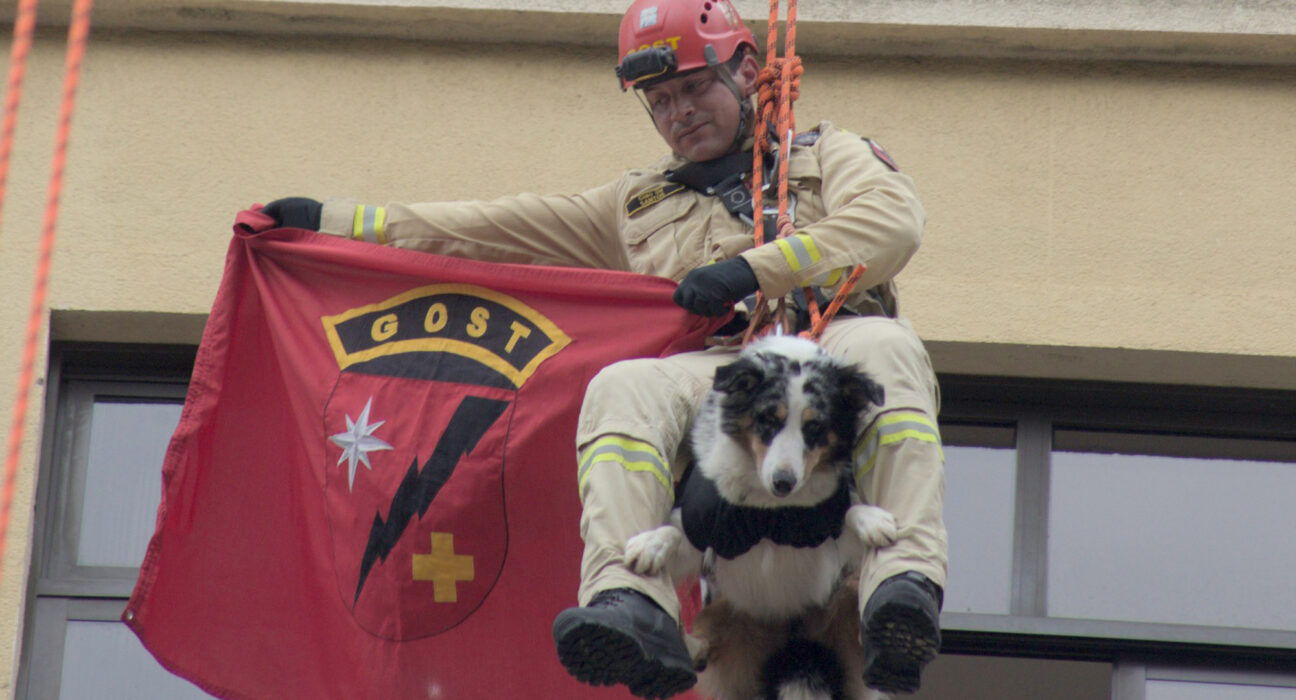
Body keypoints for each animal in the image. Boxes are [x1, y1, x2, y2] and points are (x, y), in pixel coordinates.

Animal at [627, 337, 902, 694]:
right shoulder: (707, 530)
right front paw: (651, 544)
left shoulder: (825, 540)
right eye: (769, 419)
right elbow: (676, 531)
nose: (783, 482)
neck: (770, 515)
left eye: (815, 426)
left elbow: (846, 509)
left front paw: (871, 520)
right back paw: (692, 647)